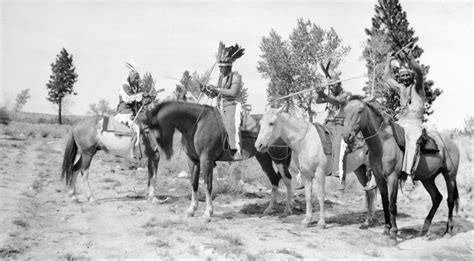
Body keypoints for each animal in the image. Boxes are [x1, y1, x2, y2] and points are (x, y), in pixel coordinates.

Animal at [144, 100, 292, 220]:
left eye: (153, 130)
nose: (156, 152)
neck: (197, 124)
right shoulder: (192, 161)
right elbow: (194, 183)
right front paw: (191, 209)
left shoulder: (206, 160)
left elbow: (208, 185)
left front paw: (207, 213)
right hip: (263, 158)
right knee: (274, 180)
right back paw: (269, 209)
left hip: (278, 158)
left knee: (287, 179)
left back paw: (288, 209)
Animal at [342, 96, 462, 243]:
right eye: (345, 111)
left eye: (360, 111)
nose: (347, 135)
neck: (383, 143)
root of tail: (450, 143)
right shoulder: (379, 178)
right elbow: (385, 203)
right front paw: (386, 230)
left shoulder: (392, 178)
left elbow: (392, 205)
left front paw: (393, 234)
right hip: (428, 179)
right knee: (437, 198)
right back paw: (425, 228)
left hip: (449, 175)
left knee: (450, 201)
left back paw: (448, 231)